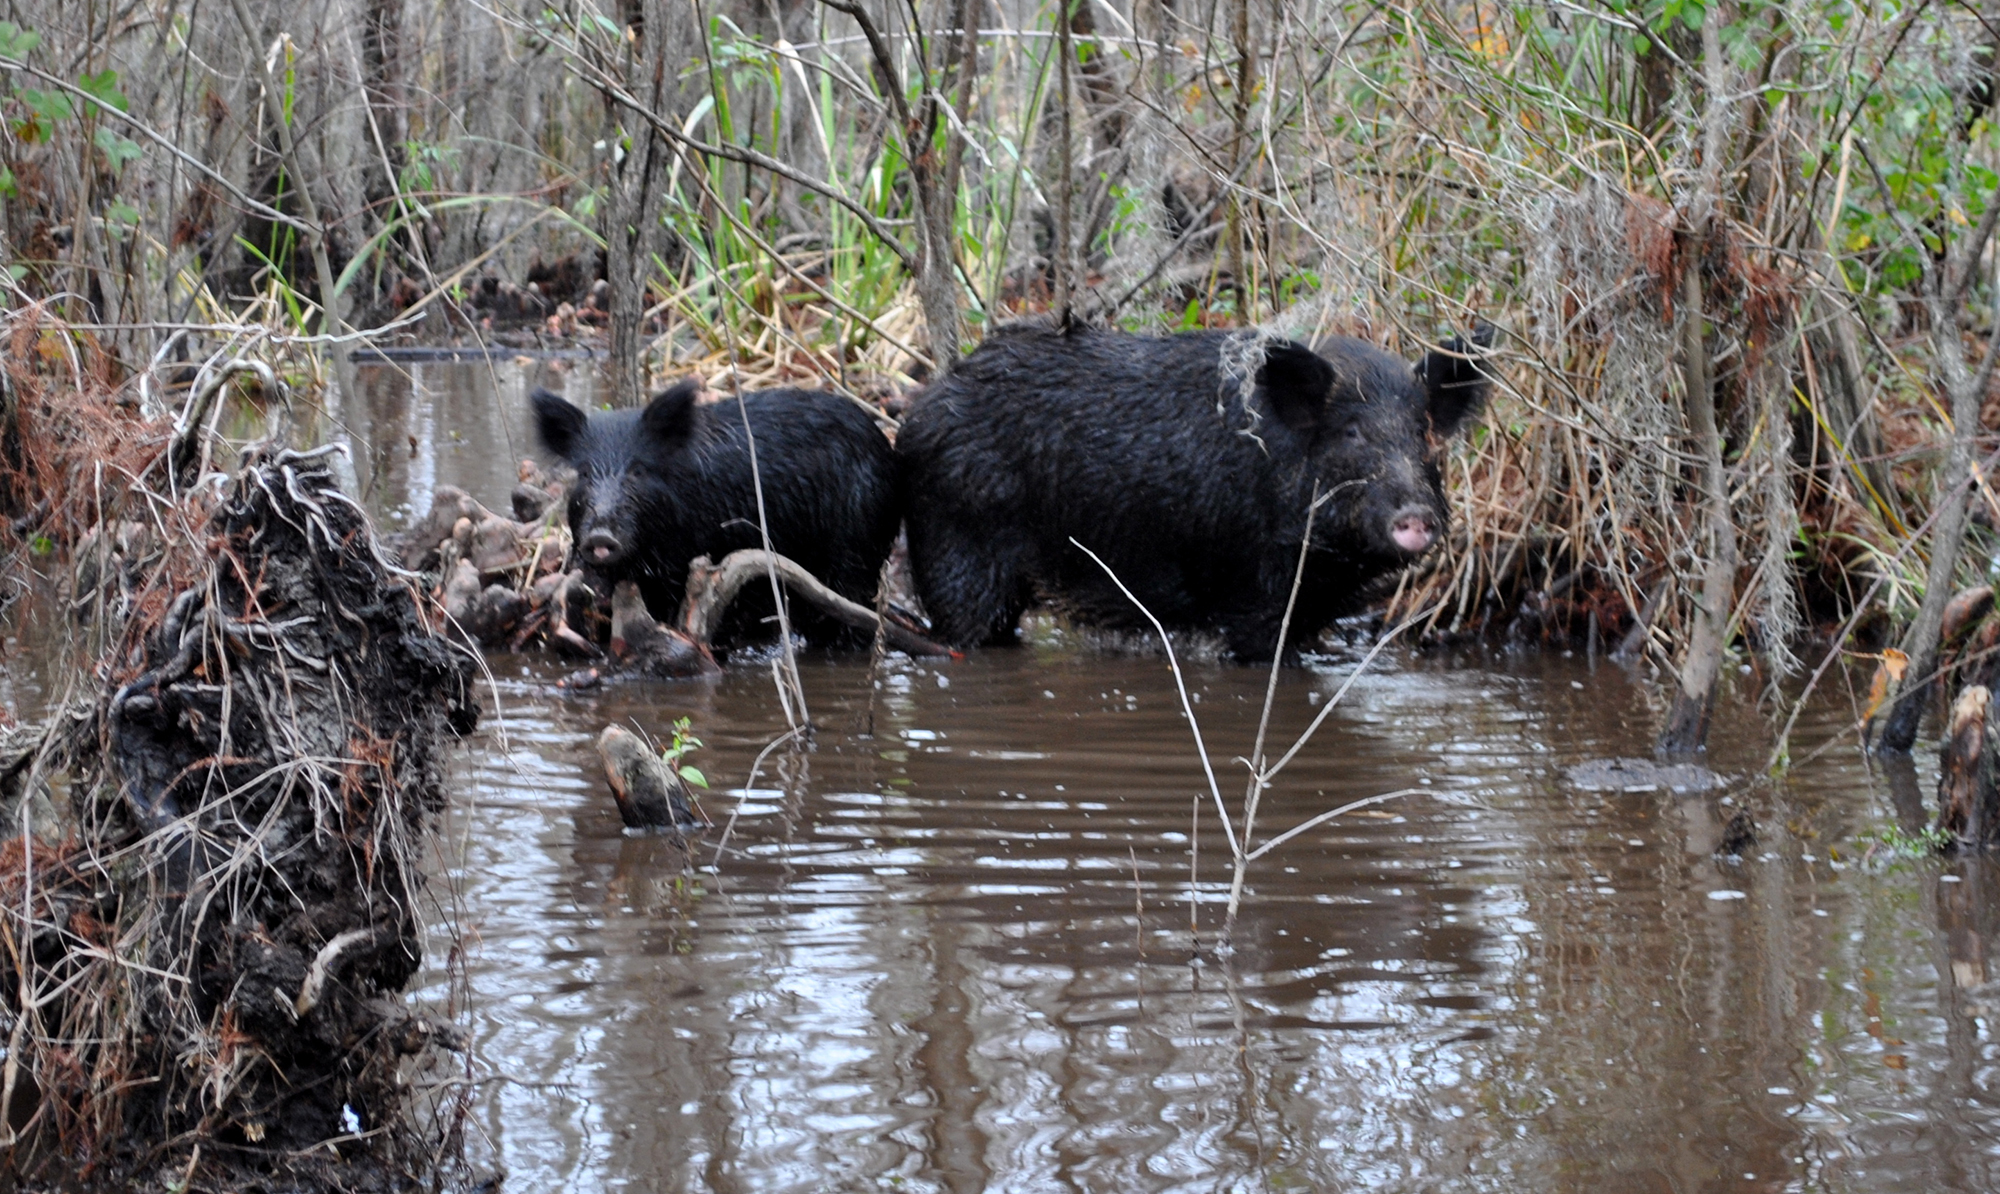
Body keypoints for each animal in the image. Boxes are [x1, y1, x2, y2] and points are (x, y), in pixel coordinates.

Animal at [900, 322, 1496, 656]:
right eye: (1351, 432)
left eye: (1422, 431)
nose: (1416, 515)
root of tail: (920, 408)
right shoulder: (1253, 594)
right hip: (961, 549)